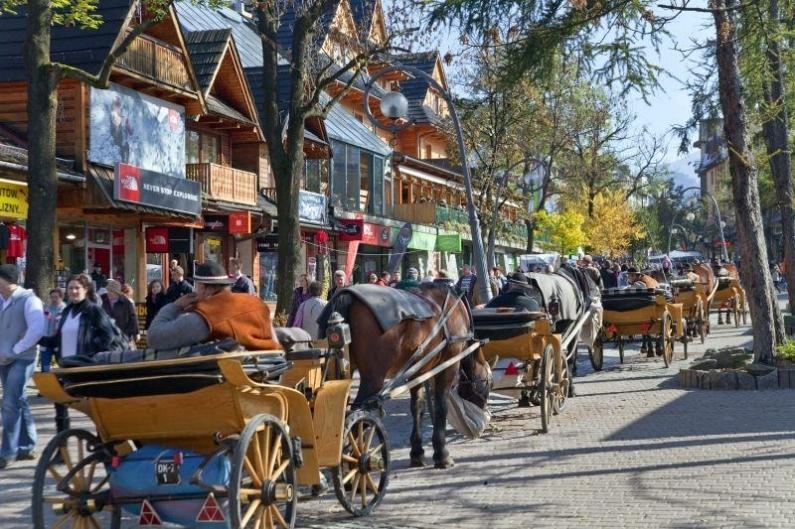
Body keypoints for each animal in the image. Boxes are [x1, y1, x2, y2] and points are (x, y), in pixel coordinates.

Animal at [338, 282, 492, 468]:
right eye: (488, 384)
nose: (485, 412)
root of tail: (348, 296)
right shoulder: (448, 364)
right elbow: (441, 406)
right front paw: (441, 453)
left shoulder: (417, 372)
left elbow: (417, 407)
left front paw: (417, 452)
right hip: (373, 379)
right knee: (356, 415)